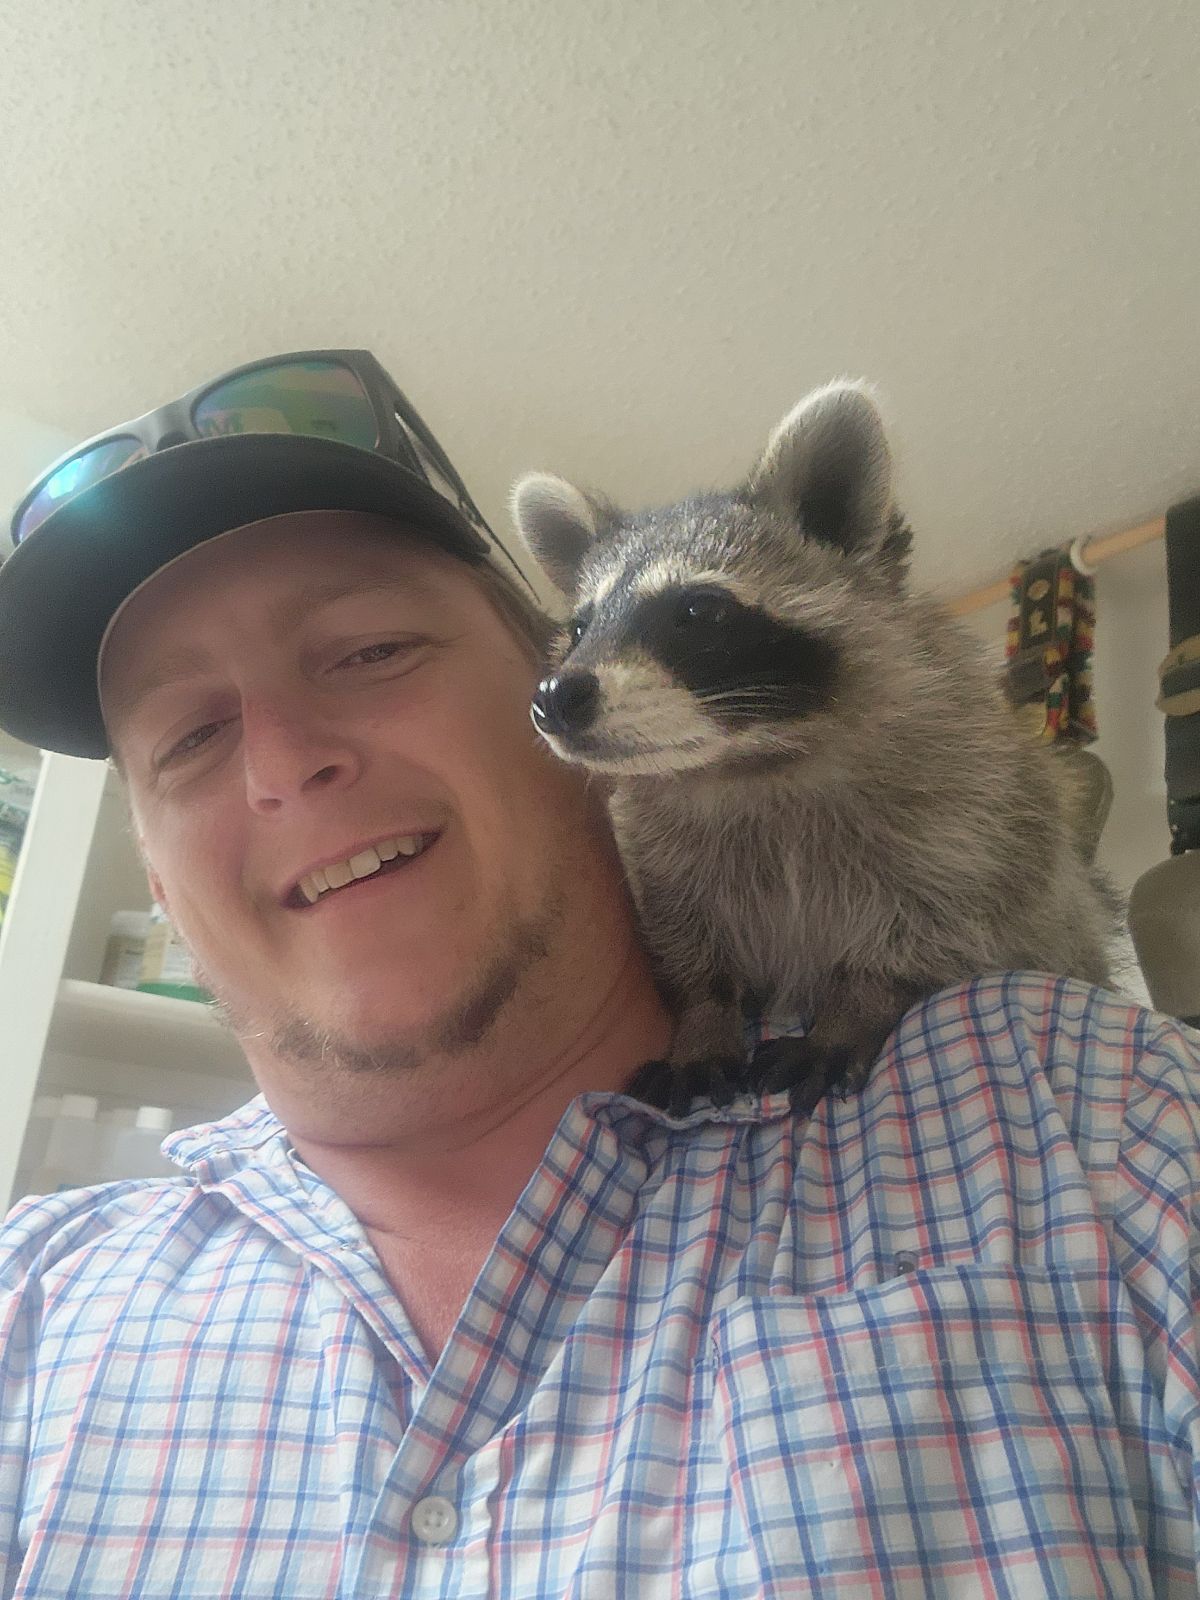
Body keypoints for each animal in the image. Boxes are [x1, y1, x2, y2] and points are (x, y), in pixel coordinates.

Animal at [512, 380, 1126, 1120]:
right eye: (579, 629)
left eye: (697, 612)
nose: (555, 697)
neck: (751, 759)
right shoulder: (662, 852)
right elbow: (686, 936)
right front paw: (704, 1019)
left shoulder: (974, 798)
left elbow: (949, 914)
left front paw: (855, 1004)